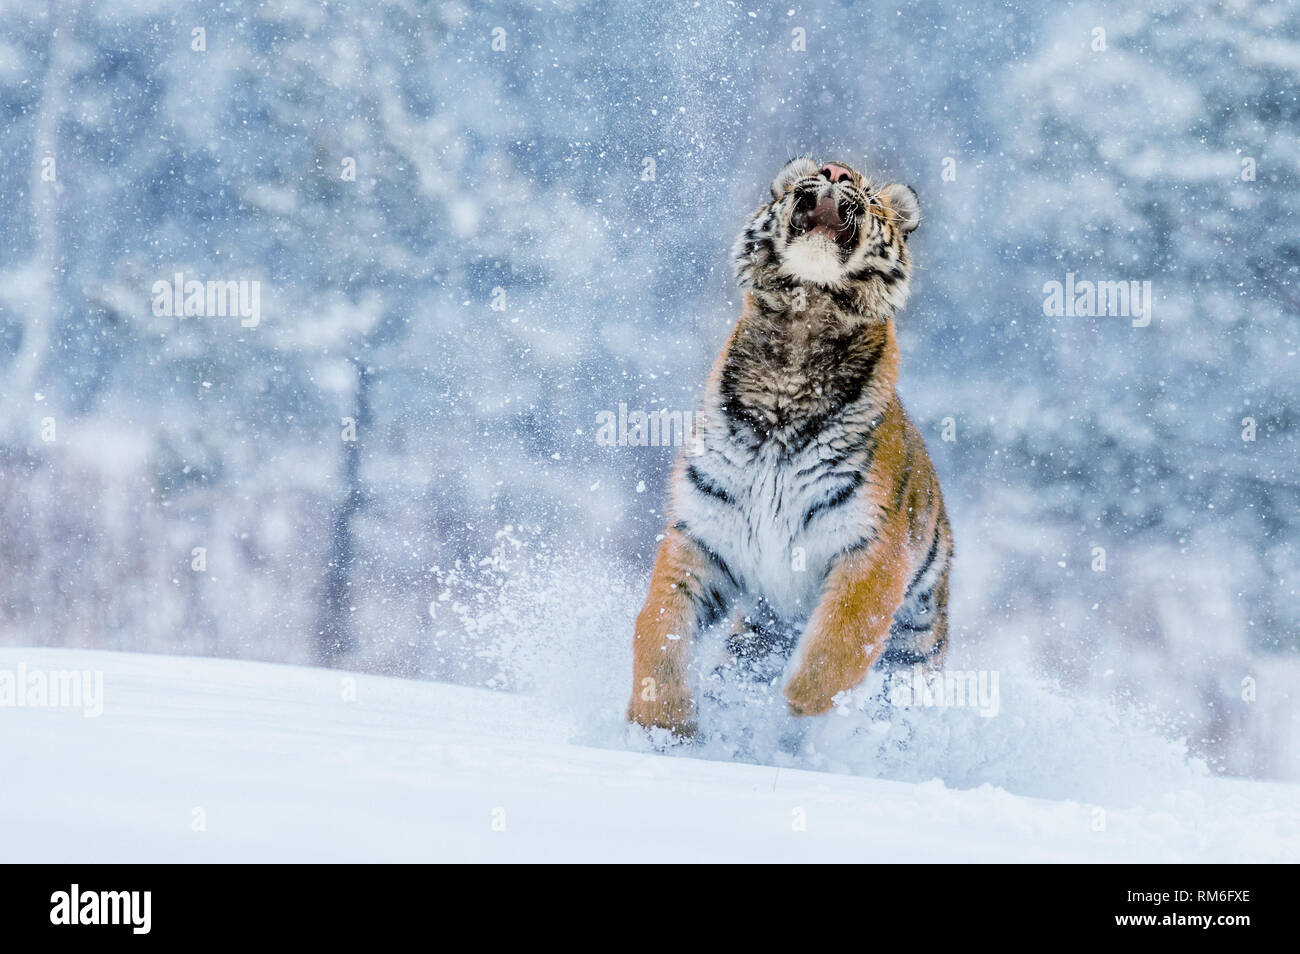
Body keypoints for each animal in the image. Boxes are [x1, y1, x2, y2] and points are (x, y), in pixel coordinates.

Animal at [629, 157, 956, 738]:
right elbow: (659, 626)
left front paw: (798, 708)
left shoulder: (873, 548)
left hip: (917, 651)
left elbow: (838, 644)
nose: (837, 171)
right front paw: (658, 727)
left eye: (866, 192)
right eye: (823, 169)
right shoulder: (704, 531)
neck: (797, 340)